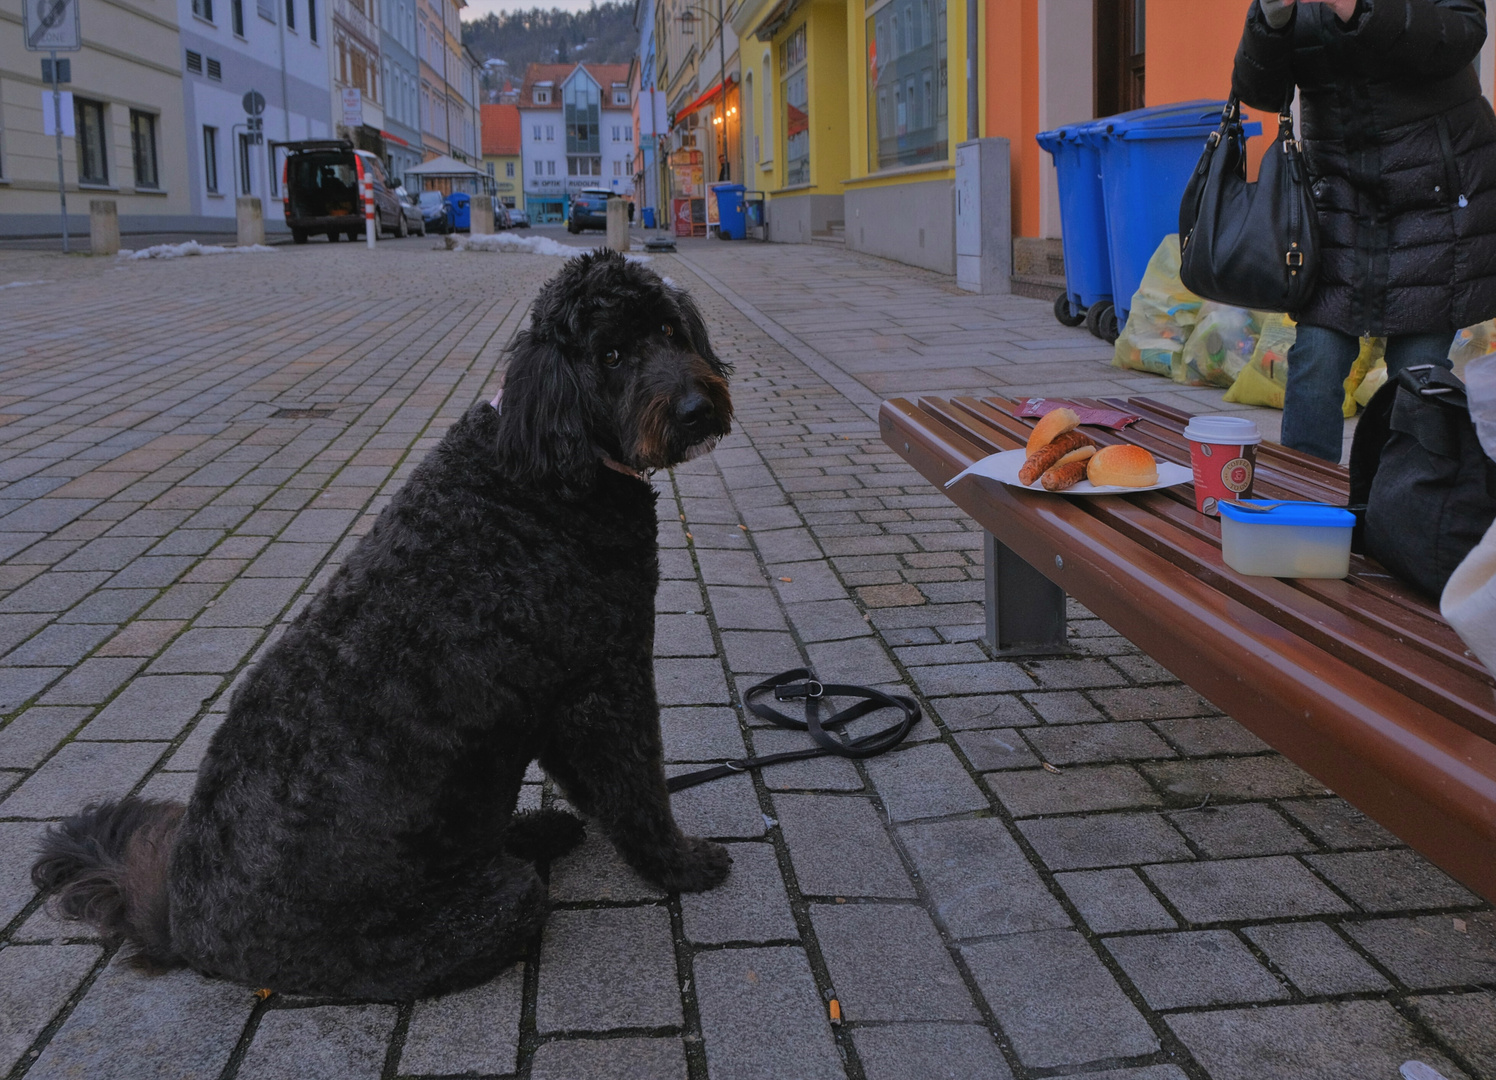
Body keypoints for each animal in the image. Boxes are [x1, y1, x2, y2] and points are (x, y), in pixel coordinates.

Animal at [32, 248, 733, 999]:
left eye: (668, 329)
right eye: (610, 354)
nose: (696, 409)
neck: (541, 476)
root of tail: (186, 926)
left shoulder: (563, 695)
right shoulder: (602, 683)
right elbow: (635, 788)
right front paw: (679, 863)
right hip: (478, 912)